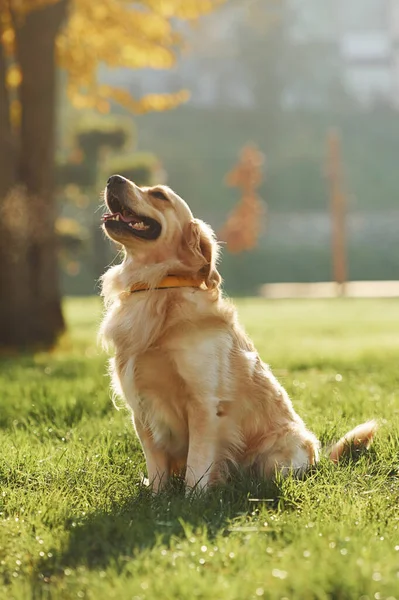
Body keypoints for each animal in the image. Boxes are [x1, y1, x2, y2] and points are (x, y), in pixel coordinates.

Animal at [100, 173, 378, 492]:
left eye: (159, 195)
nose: (113, 178)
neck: (158, 286)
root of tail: (319, 460)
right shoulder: (141, 407)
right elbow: (157, 467)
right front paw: (158, 497)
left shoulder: (204, 403)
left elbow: (197, 467)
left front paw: (192, 499)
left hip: (280, 452)